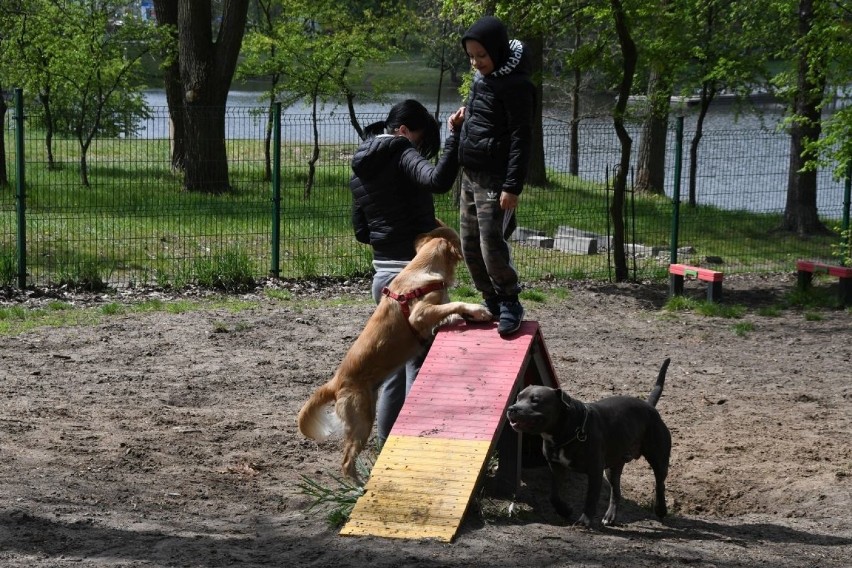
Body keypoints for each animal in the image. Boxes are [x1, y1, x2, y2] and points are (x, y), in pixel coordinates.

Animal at [296, 224, 492, 482]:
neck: (422, 269)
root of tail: (335, 382)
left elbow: (449, 309)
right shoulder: (419, 314)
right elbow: (454, 304)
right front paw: (478, 310)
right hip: (361, 421)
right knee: (346, 462)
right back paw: (359, 485)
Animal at [506, 360, 672, 528]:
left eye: (535, 400)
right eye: (518, 397)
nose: (512, 408)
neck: (567, 430)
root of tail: (649, 406)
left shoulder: (595, 471)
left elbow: (591, 498)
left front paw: (584, 520)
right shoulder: (555, 467)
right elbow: (554, 495)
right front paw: (565, 510)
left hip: (658, 458)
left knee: (660, 484)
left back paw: (660, 510)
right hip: (614, 466)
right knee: (616, 491)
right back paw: (609, 517)